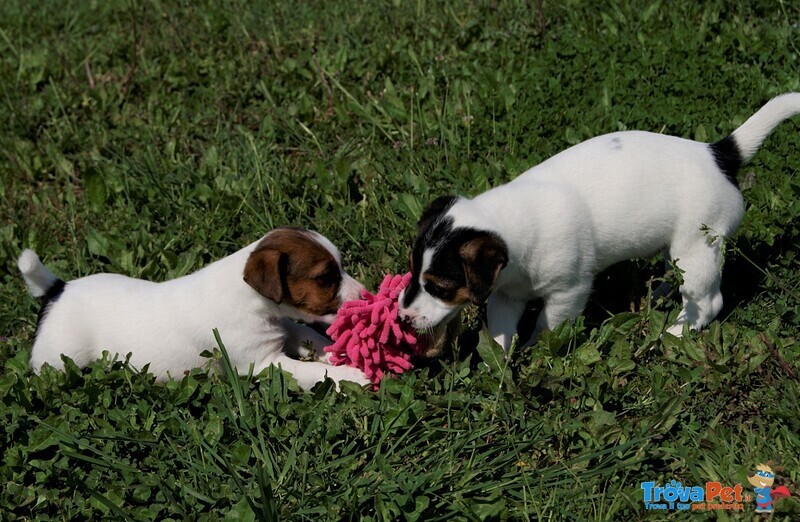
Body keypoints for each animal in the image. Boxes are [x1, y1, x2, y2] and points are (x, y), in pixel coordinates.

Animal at [16, 225, 372, 388]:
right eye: (326, 277)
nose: (366, 294)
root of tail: (59, 289)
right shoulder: (262, 363)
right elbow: (311, 370)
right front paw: (351, 375)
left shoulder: (285, 325)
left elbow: (309, 336)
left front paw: (336, 352)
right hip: (61, 360)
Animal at [398, 93, 800, 354]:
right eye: (413, 272)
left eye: (440, 286)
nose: (402, 318)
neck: (508, 224)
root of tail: (718, 154)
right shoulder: (505, 295)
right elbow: (499, 333)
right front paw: (497, 362)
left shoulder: (568, 292)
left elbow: (548, 326)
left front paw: (534, 350)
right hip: (678, 248)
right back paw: (657, 295)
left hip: (697, 248)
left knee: (708, 301)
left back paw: (674, 332)